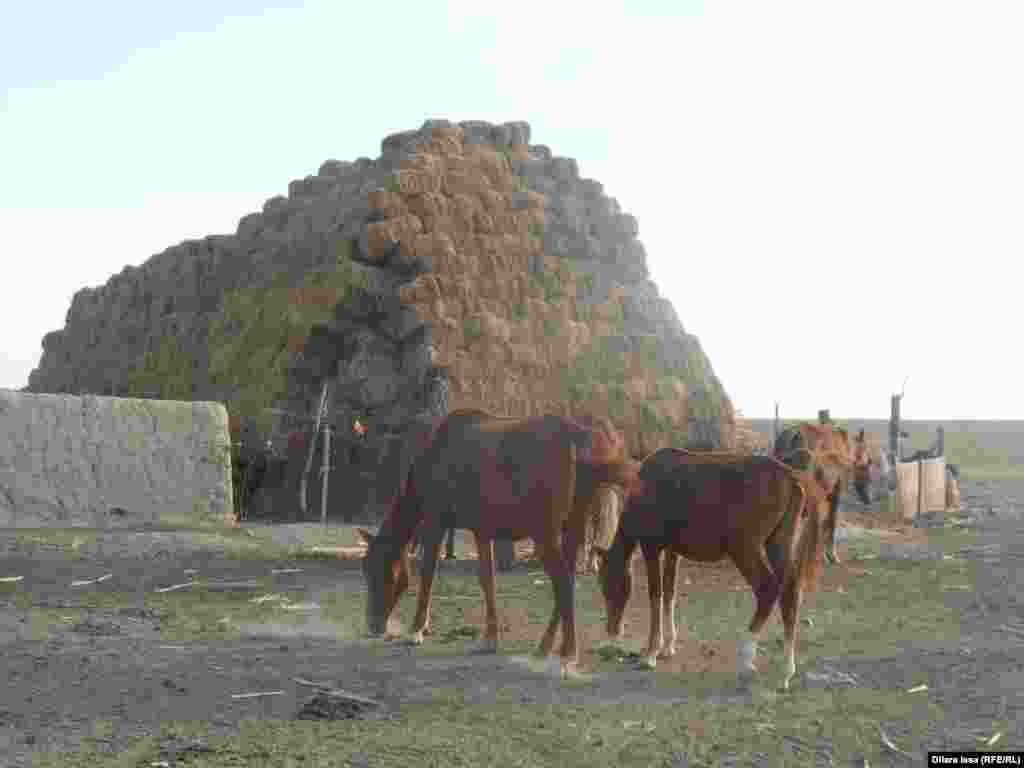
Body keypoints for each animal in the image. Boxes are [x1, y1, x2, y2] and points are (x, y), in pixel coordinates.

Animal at [356, 409, 626, 671]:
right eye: (366, 569)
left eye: (382, 570)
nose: (373, 625)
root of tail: (580, 442)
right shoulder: (482, 530)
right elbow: (487, 580)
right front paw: (489, 638)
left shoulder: (435, 519)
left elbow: (427, 575)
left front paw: (416, 630)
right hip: (573, 524)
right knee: (567, 577)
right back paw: (546, 646)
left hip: (545, 532)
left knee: (563, 581)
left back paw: (568, 652)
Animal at [598, 444, 827, 692]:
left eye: (608, 586)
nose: (611, 632)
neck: (642, 488)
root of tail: (791, 477)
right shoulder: (672, 551)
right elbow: (669, 592)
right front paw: (668, 646)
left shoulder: (652, 547)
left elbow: (655, 595)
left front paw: (650, 653)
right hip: (778, 543)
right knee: (790, 594)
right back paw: (785, 673)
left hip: (745, 549)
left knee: (768, 589)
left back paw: (746, 660)